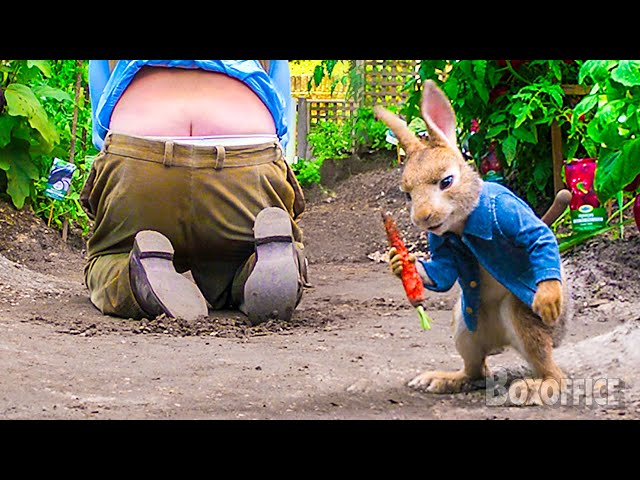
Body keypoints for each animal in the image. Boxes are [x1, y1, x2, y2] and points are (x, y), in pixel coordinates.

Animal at [374, 79, 573, 406]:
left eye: (446, 181)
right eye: (407, 194)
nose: (424, 217)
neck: (461, 225)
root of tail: (500, 342)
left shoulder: (505, 211)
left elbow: (538, 238)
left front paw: (548, 299)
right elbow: (442, 273)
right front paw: (400, 262)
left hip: (523, 321)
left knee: (554, 373)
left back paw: (534, 388)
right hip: (464, 328)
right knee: (476, 370)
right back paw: (440, 379)